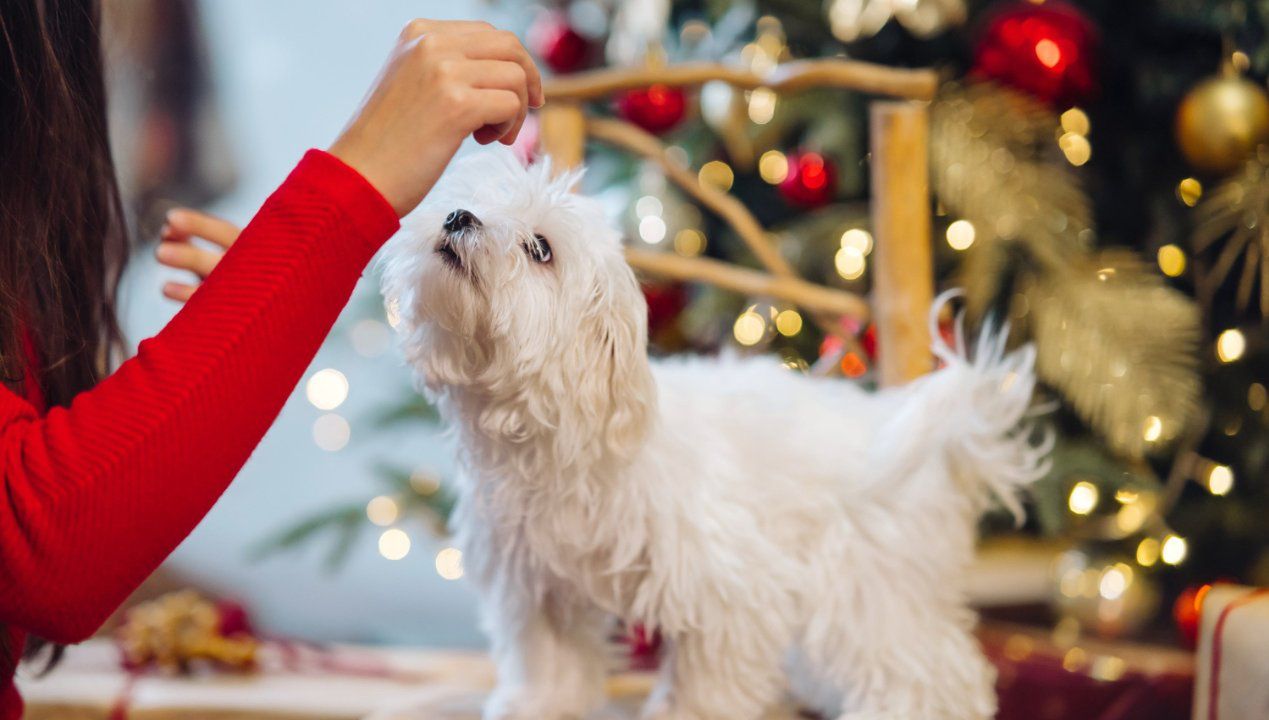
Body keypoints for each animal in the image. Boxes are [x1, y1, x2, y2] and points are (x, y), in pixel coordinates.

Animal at [378, 152, 1050, 720]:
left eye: (540, 248)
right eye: (473, 201)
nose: (458, 217)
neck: (564, 441)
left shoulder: (730, 592)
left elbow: (706, 690)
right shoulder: (539, 586)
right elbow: (549, 669)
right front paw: (534, 709)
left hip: (866, 591)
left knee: (935, 674)